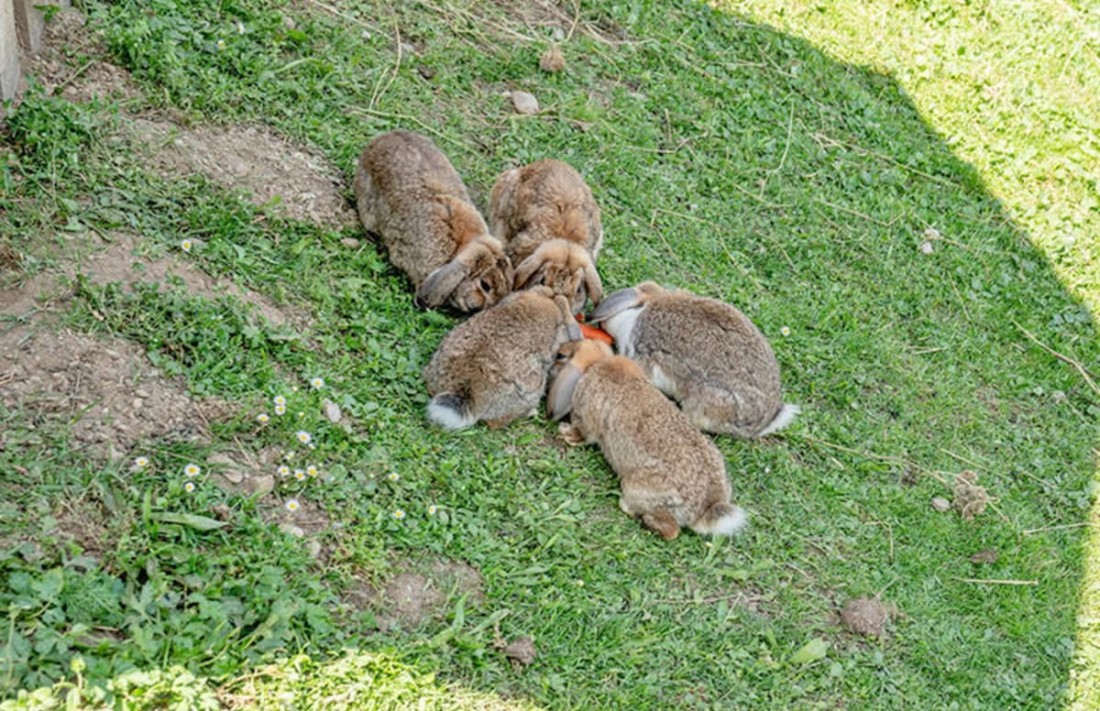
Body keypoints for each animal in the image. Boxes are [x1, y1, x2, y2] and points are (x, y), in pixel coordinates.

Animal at [547, 339, 747, 540]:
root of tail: (704, 507)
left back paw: (636, 513)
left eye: (561, 356)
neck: (598, 362)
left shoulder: (588, 417)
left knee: (670, 530)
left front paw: (566, 433)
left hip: (638, 486)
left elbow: (584, 432)